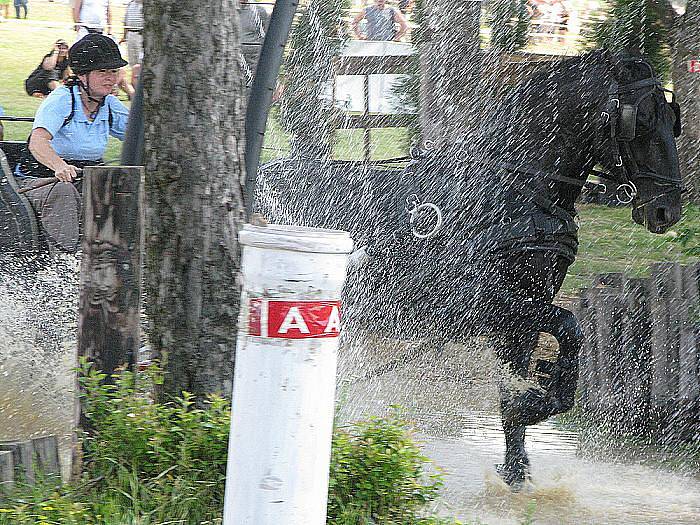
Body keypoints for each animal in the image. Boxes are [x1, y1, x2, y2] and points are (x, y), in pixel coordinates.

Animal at [258, 50, 684, 488]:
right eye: (642, 119)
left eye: (673, 120)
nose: (667, 209)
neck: (514, 194)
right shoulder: (483, 303)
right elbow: (570, 328)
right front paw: (541, 395)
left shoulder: (522, 316)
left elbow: (512, 390)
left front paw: (516, 465)